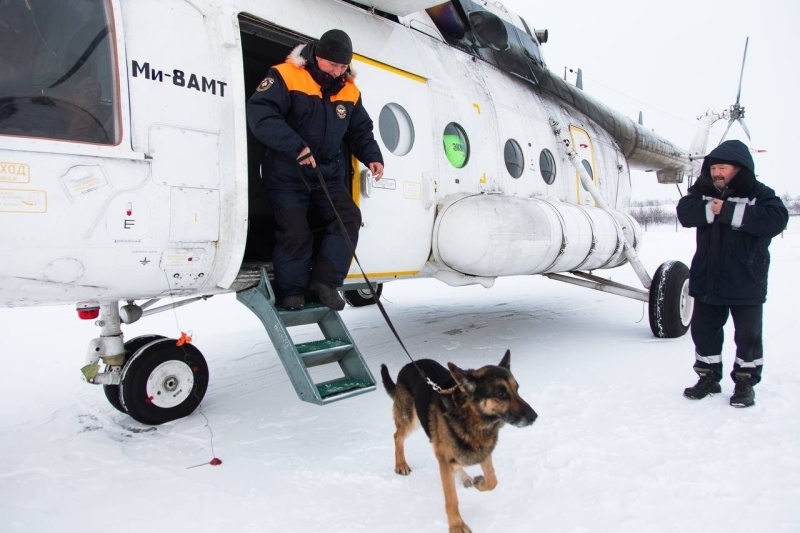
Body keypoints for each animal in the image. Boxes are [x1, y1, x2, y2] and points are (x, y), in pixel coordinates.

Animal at [382, 350, 536, 532]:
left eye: (517, 389)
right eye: (501, 394)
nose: (534, 417)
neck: (470, 417)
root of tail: (408, 365)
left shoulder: (483, 452)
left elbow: (492, 480)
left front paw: (479, 482)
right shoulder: (446, 460)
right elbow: (451, 499)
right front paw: (456, 525)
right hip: (410, 420)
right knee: (397, 436)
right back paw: (401, 464)